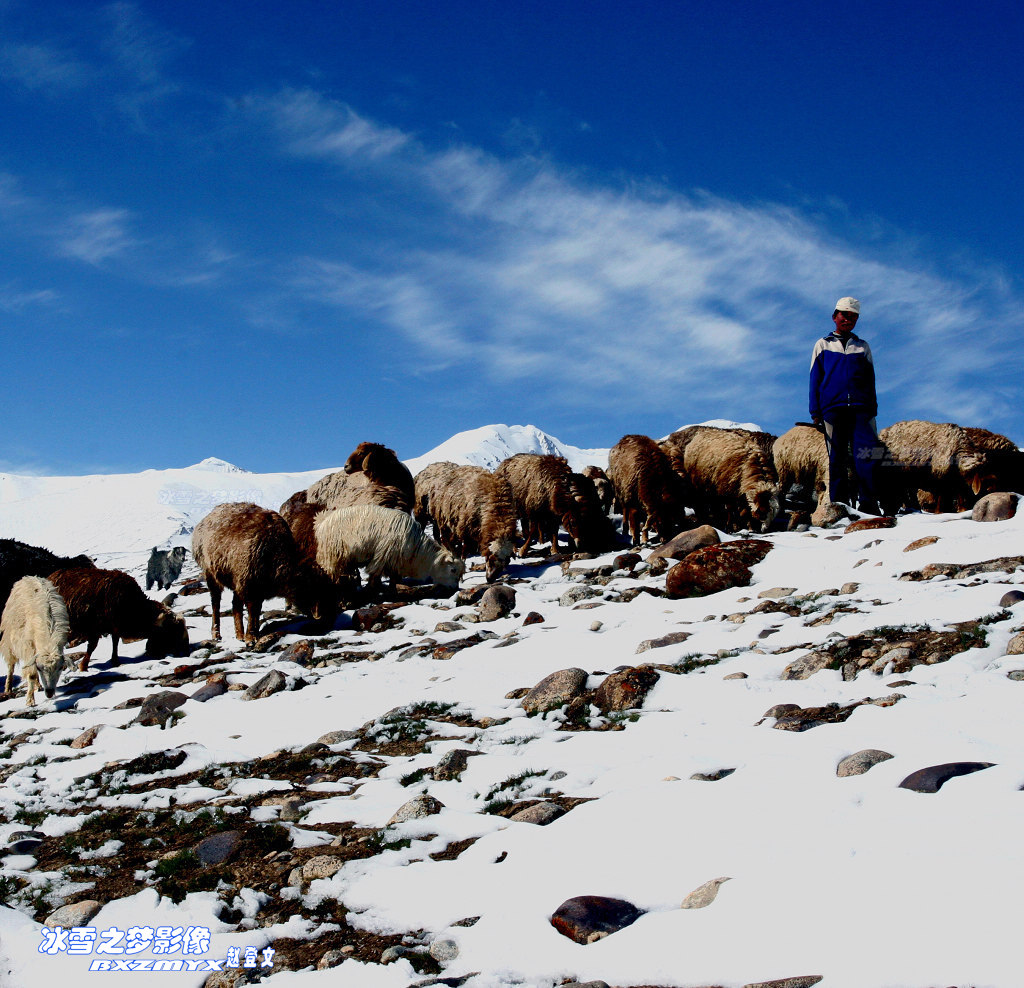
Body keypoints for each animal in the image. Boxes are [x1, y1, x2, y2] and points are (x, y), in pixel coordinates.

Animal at [1, 573, 71, 704]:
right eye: (40, 668)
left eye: (60, 667)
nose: (49, 693)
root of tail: (29, 576)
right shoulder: (28, 645)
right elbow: (32, 674)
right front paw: (30, 701)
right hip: (9, 640)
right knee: (10, 665)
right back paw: (8, 689)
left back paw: (38, 686)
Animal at [48, 561, 189, 671]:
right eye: (172, 629)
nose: (186, 649)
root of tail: (51, 576)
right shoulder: (96, 627)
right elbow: (92, 646)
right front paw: (83, 666)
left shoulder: (114, 625)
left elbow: (115, 642)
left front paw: (115, 660)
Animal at [192, 505, 315, 642]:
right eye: (308, 586)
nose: (319, 616)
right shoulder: (250, 584)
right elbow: (252, 610)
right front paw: (251, 637)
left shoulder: (256, 586)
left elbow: (256, 609)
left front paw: (253, 634)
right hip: (212, 574)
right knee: (216, 603)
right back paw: (216, 633)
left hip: (237, 579)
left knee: (236, 605)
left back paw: (240, 635)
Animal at [311, 505, 464, 589]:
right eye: (453, 570)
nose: (454, 588)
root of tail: (322, 521)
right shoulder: (383, 556)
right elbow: (374, 575)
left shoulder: (395, 562)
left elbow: (393, 580)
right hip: (333, 555)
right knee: (331, 573)